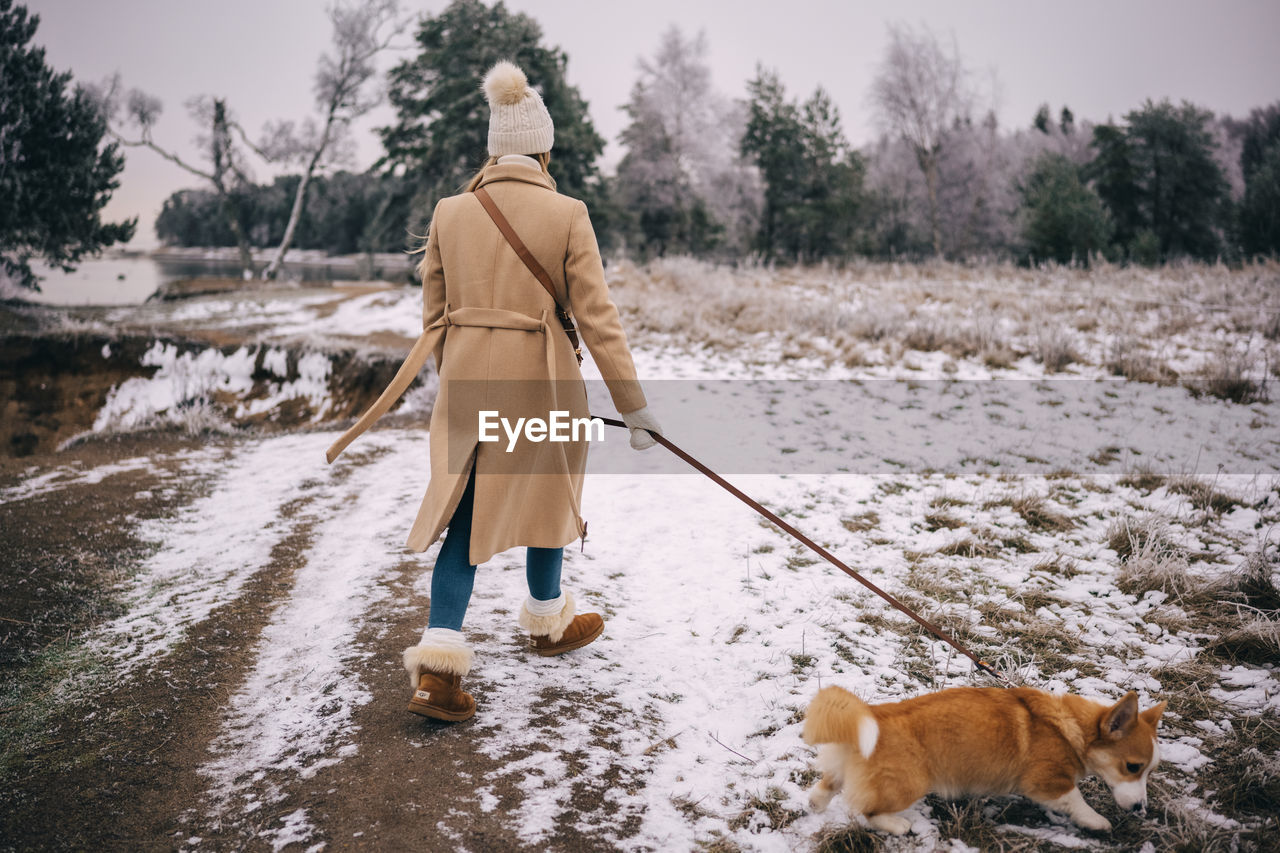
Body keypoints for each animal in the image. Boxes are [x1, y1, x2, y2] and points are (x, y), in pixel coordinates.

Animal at [803, 686, 1167, 829]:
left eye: (1150, 770)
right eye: (1132, 767)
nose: (1140, 809)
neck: (1074, 729)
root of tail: (873, 715)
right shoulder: (1048, 781)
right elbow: (1075, 799)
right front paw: (1096, 821)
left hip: (843, 770)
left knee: (827, 786)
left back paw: (815, 806)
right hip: (910, 784)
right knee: (867, 810)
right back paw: (897, 825)